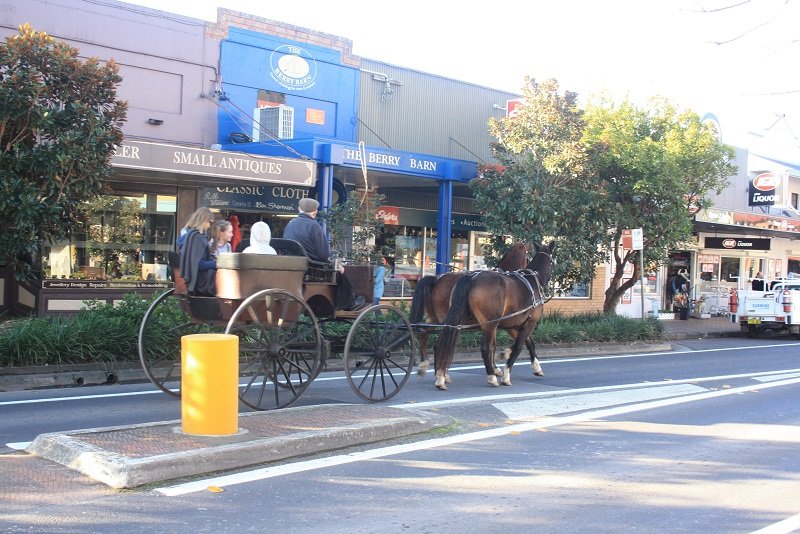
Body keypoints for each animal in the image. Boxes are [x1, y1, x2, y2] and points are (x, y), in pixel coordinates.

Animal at [410, 245, 536, 378]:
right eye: (528, 256)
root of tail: (436, 279)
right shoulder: (492, 322)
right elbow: (492, 345)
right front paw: (495, 368)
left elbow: (493, 344)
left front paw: (494, 367)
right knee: (439, 342)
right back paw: (440, 372)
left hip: (433, 317)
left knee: (425, 333)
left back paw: (428, 366)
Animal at [432, 243, 556, 390]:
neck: (531, 281)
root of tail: (472, 278)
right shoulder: (529, 323)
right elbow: (518, 347)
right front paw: (506, 374)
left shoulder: (513, 326)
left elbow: (529, 343)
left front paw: (536, 367)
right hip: (489, 325)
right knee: (485, 348)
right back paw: (491, 377)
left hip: (457, 321)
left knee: (442, 343)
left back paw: (441, 376)